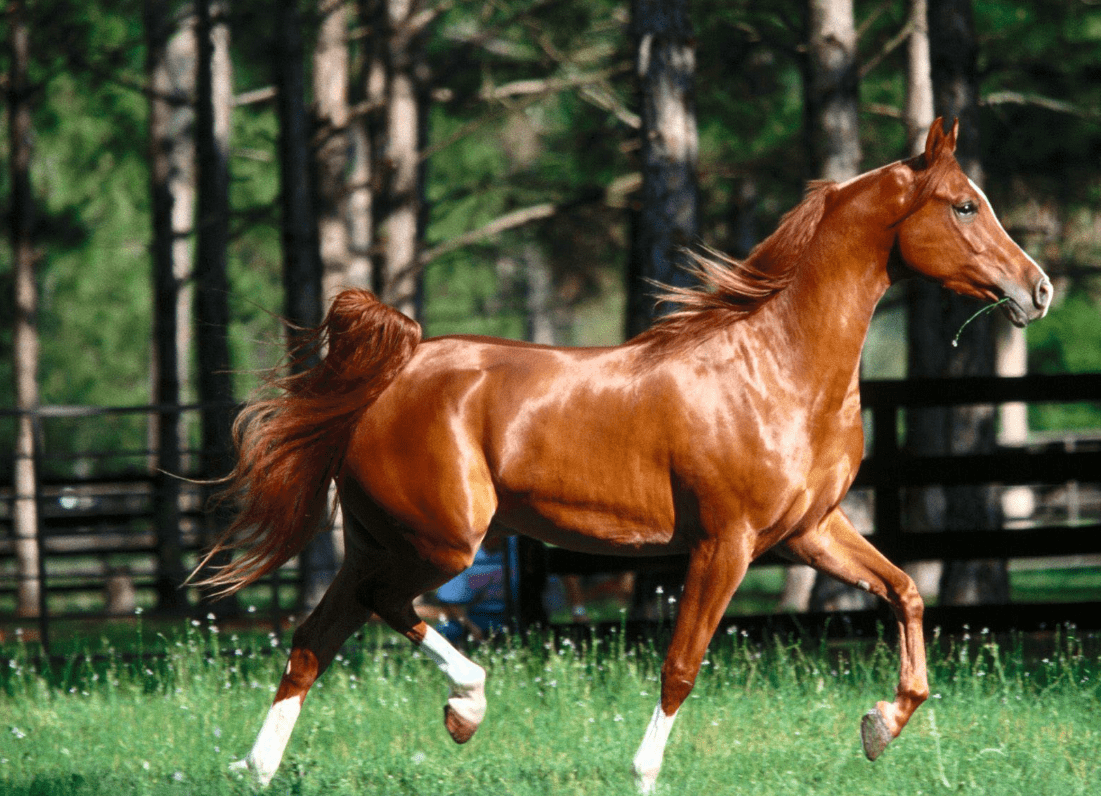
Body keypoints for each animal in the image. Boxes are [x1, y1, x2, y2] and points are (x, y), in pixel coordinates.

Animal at [195, 120, 1048, 796]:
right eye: (964, 204)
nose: (1036, 290)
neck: (777, 367)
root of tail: (392, 373)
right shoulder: (725, 542)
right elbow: (682, 663)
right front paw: (642, 771)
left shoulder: (810, 531)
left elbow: (905, 593)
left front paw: (877, 727)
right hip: (442, 540)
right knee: (379, 607)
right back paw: (466, 704)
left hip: (383, 538)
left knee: (314, 638)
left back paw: (258, 768)